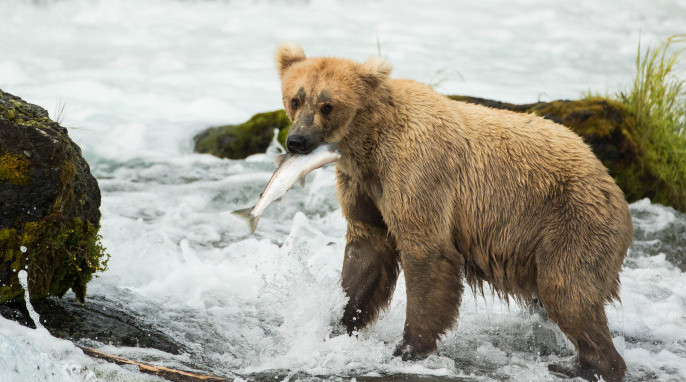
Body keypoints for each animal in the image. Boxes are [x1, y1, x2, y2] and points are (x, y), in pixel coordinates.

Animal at [274, 42, 636, 382]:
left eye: (327, 105)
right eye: (295, 99)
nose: (297, 141)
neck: (369, 142)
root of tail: (611, 182)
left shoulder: (417, 172)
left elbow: (426, 252)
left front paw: (409, 346)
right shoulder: (363, 187)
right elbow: (367, 253)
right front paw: (339, 324)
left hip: (572, 220)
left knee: (567, 291)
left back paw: (590, 365)